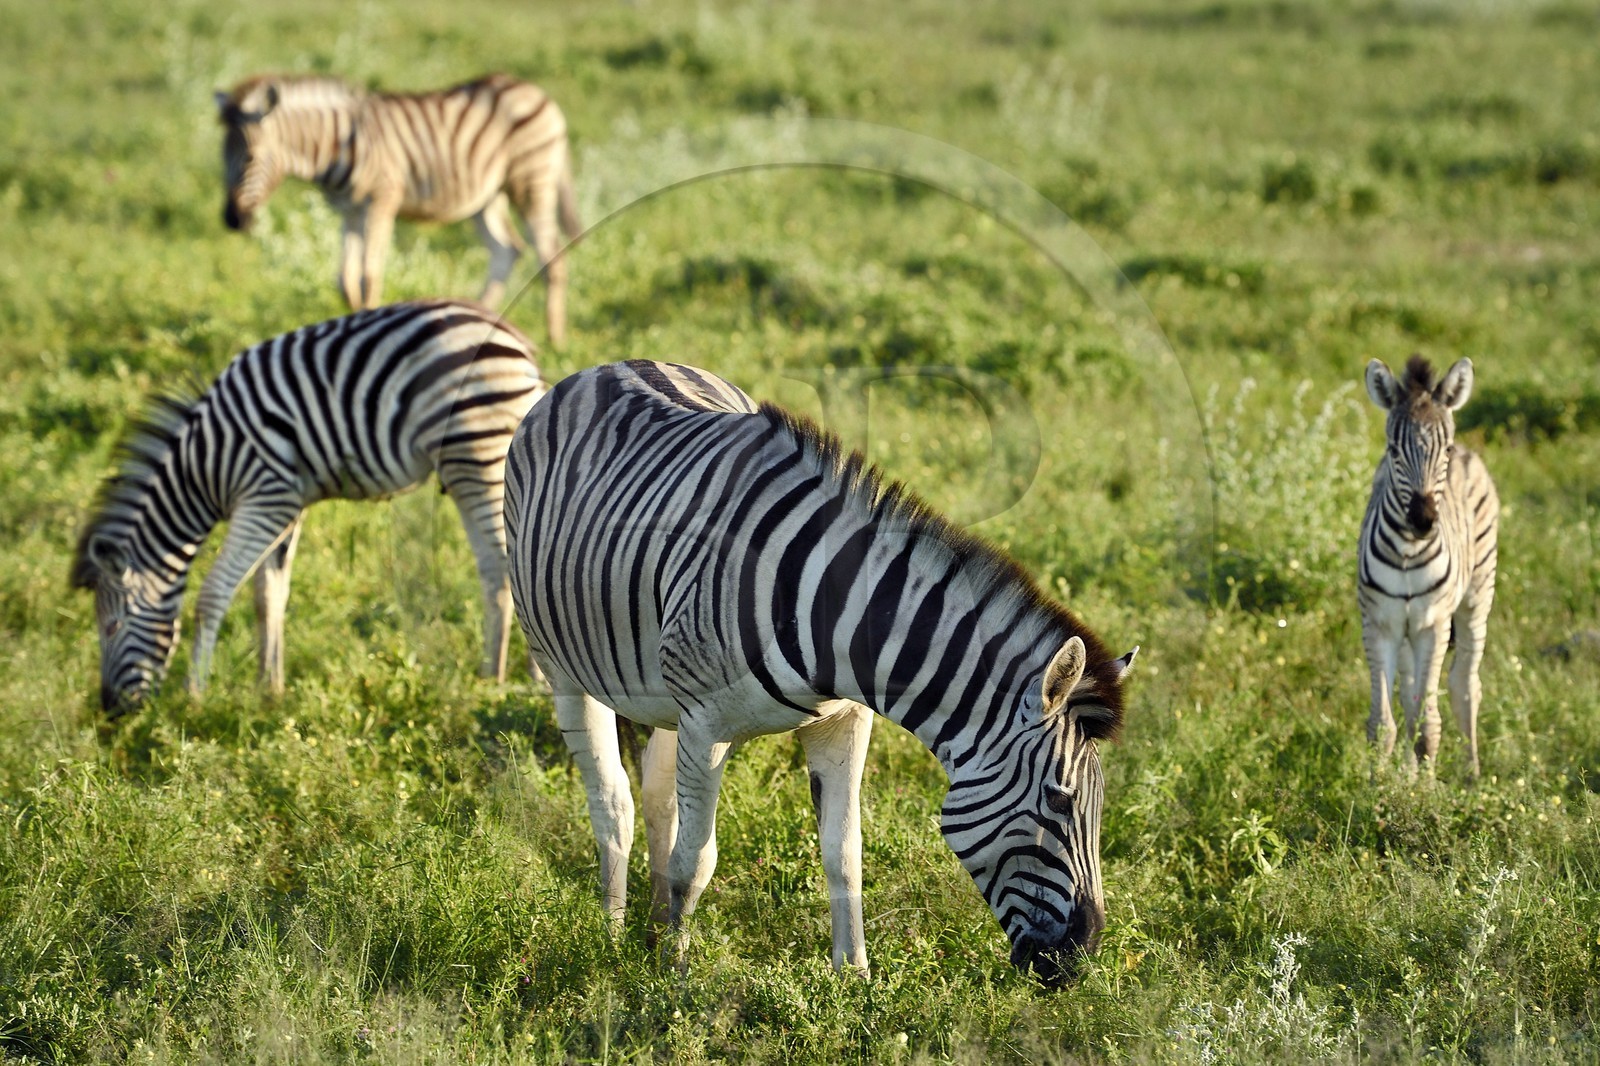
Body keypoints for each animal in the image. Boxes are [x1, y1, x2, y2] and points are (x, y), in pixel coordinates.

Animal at [72, 300, 546, 715]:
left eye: (111, 627)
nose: (110, 711)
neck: (204, 467)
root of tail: (520, 346)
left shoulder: (266, 499)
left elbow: (213, 594)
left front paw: (194, 694)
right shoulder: (287, 507)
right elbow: (269, 594)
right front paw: (270, 687)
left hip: (477, 455)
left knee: (512, 565)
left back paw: (522, 680)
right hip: (471, 464)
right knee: (495, 567)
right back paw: (495, 676)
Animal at [215, 73, 580, 348]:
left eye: (249, 157)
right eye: (221, 157)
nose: (232, 220)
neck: (335, 145)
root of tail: (534, 90)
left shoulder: (382, 199)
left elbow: (368, 274)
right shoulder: (349, 210)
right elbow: (345, 279)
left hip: (531, 183)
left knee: (552, 257)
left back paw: (556, 340)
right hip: (487, 198)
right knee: (506, 249)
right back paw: (481, 321)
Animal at [504, 360, 1137, 982]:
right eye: (1059, 801)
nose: (1081, 958)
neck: (834, 619)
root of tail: (607, 368)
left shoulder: (843, 722)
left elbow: (844, 853)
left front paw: (852, 977)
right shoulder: (705, 726)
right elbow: (698, 858)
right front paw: (672, 980)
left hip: (660, 691)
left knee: (659, 799)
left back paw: (655, 923)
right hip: (562, 667)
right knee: (614, 803)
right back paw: (612, 940)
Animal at [1359, 355, 1499, 777]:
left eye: (1445, 450)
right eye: (1393, 450)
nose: (1422, 520)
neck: (1408, 550)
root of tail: (1473, 450)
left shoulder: (1433, 625)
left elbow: (1429, 726)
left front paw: (1427, 791)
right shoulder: (1380, 623)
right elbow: (1382, 725)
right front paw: (1377, 786)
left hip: (1477, 595)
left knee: (1465, 686)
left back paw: (1472, 778)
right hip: (1407, 631)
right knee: (1410, 694)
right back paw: (1407, 774)